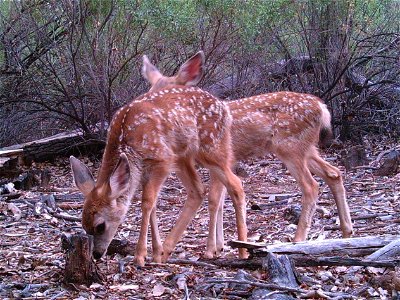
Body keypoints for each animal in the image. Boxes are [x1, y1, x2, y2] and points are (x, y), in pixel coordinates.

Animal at [70, 52, 248, 268]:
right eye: (84, 226)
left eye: (100, 225)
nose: (96, 254)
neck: (125, 141)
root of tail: (225, 109)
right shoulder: (143, 169)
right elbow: (153, 204)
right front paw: (155, 252)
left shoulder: (162, 159)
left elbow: (147, 202)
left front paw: (140, 255)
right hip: (186, 156)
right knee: (199, 190)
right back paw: (169, 250)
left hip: (210, 148)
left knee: (235, 184)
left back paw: (242, 250)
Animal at [141, 51, 354, 258]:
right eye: (150, 93)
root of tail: (322, 108)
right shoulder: (223, 163)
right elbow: (219, 200)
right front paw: (219, 246)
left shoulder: (221, 160)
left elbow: (214, 200)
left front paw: (211, 250)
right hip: (307, 149)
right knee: (334, 173)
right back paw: (346, 232)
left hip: (290, 148)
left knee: (311, 186)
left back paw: (298, 240)